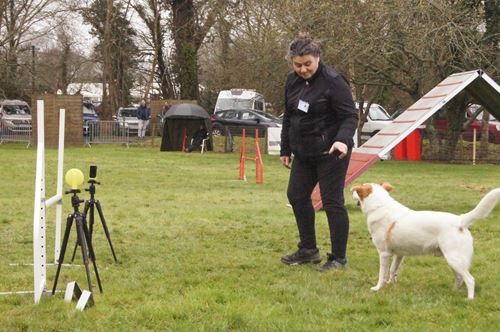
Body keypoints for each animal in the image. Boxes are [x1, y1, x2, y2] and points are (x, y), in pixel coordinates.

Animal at [352, 183, 500, 300]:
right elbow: (393, 270)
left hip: (454, 259)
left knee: (470, 280)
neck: (380, 206)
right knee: (459, 278)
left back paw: (469, 299)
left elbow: (381, 274)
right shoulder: (399, 254)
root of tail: (460, 220)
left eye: (358, 190)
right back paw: (453, 292)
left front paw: (377, 288)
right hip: (453, 261)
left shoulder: (384, 253)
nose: (351, 190)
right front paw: (392, 284)